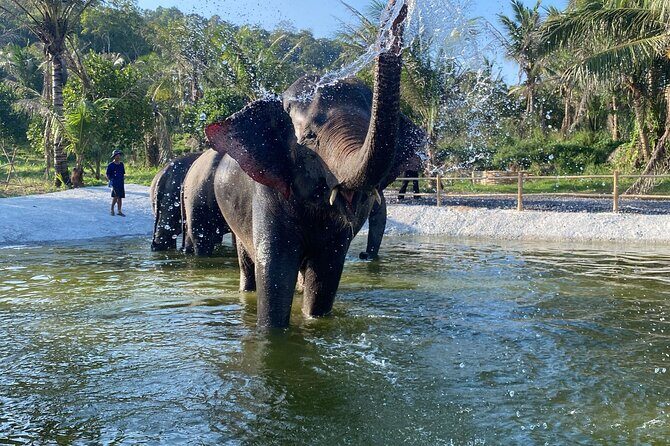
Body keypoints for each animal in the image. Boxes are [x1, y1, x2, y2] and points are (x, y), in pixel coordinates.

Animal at [204, 0, 409, 328]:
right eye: (310, 138)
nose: (397, 8)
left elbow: (324, 276)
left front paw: (314, 321)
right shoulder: (268, 192)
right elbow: (274, 272)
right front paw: (272, 332)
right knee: (246, 262)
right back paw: (246, 291)